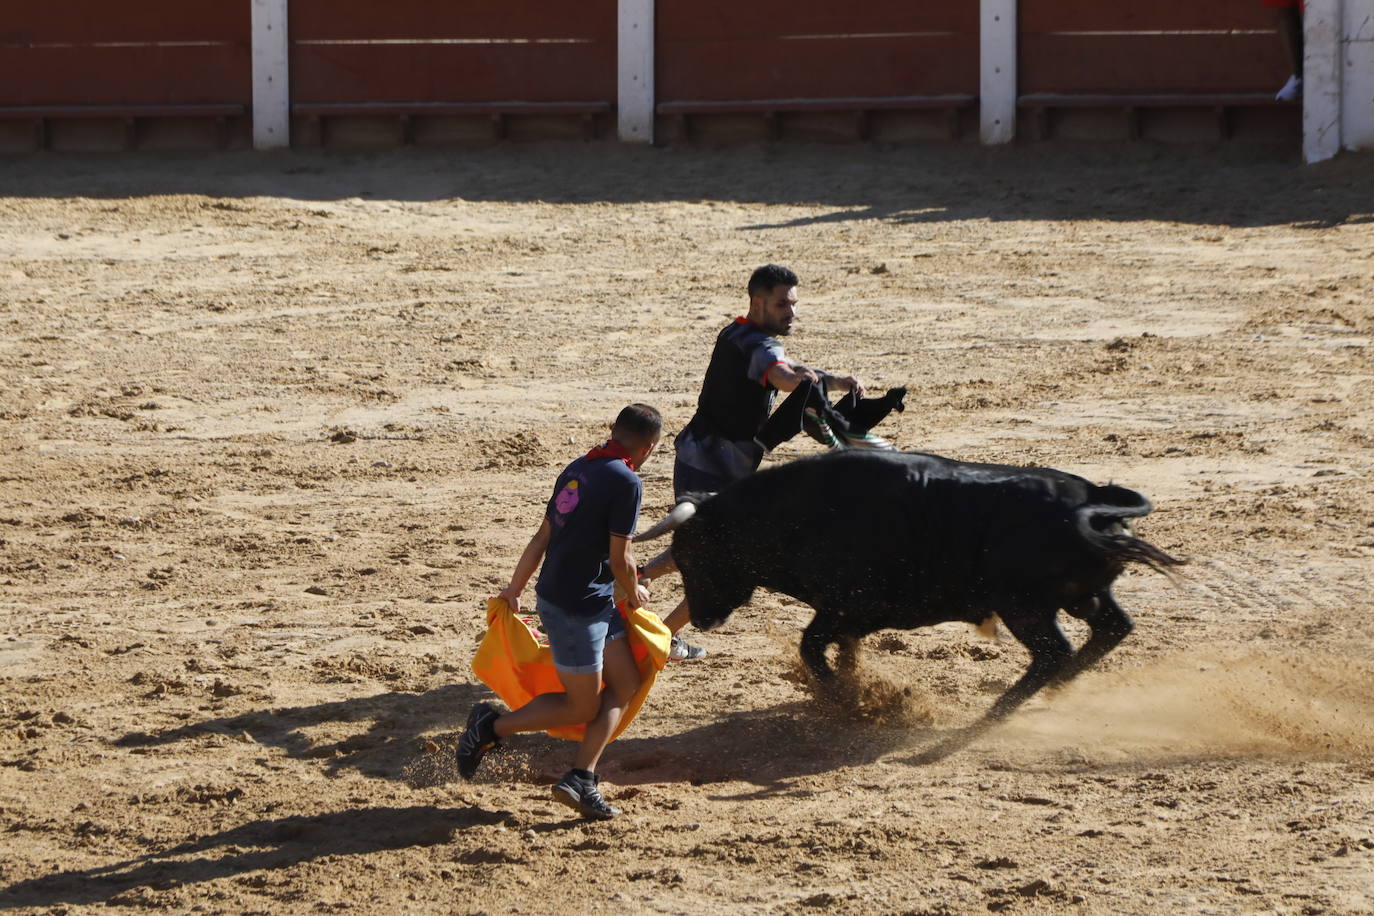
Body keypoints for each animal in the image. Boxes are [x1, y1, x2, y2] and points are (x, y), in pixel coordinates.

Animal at [632, 450, 1181, 725]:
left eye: (694, 555)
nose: (703, 617)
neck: (795, 513)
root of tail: (1093, 497)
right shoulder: (847, 617)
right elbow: (839, 651)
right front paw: (856, 689)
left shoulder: (844, 607)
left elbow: (811, 649)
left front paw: (847, 698)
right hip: (1082, 595)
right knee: (1112, 628)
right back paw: (1056, 691)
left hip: (1025, 607)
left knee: (1053, 652)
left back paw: (994, 714)